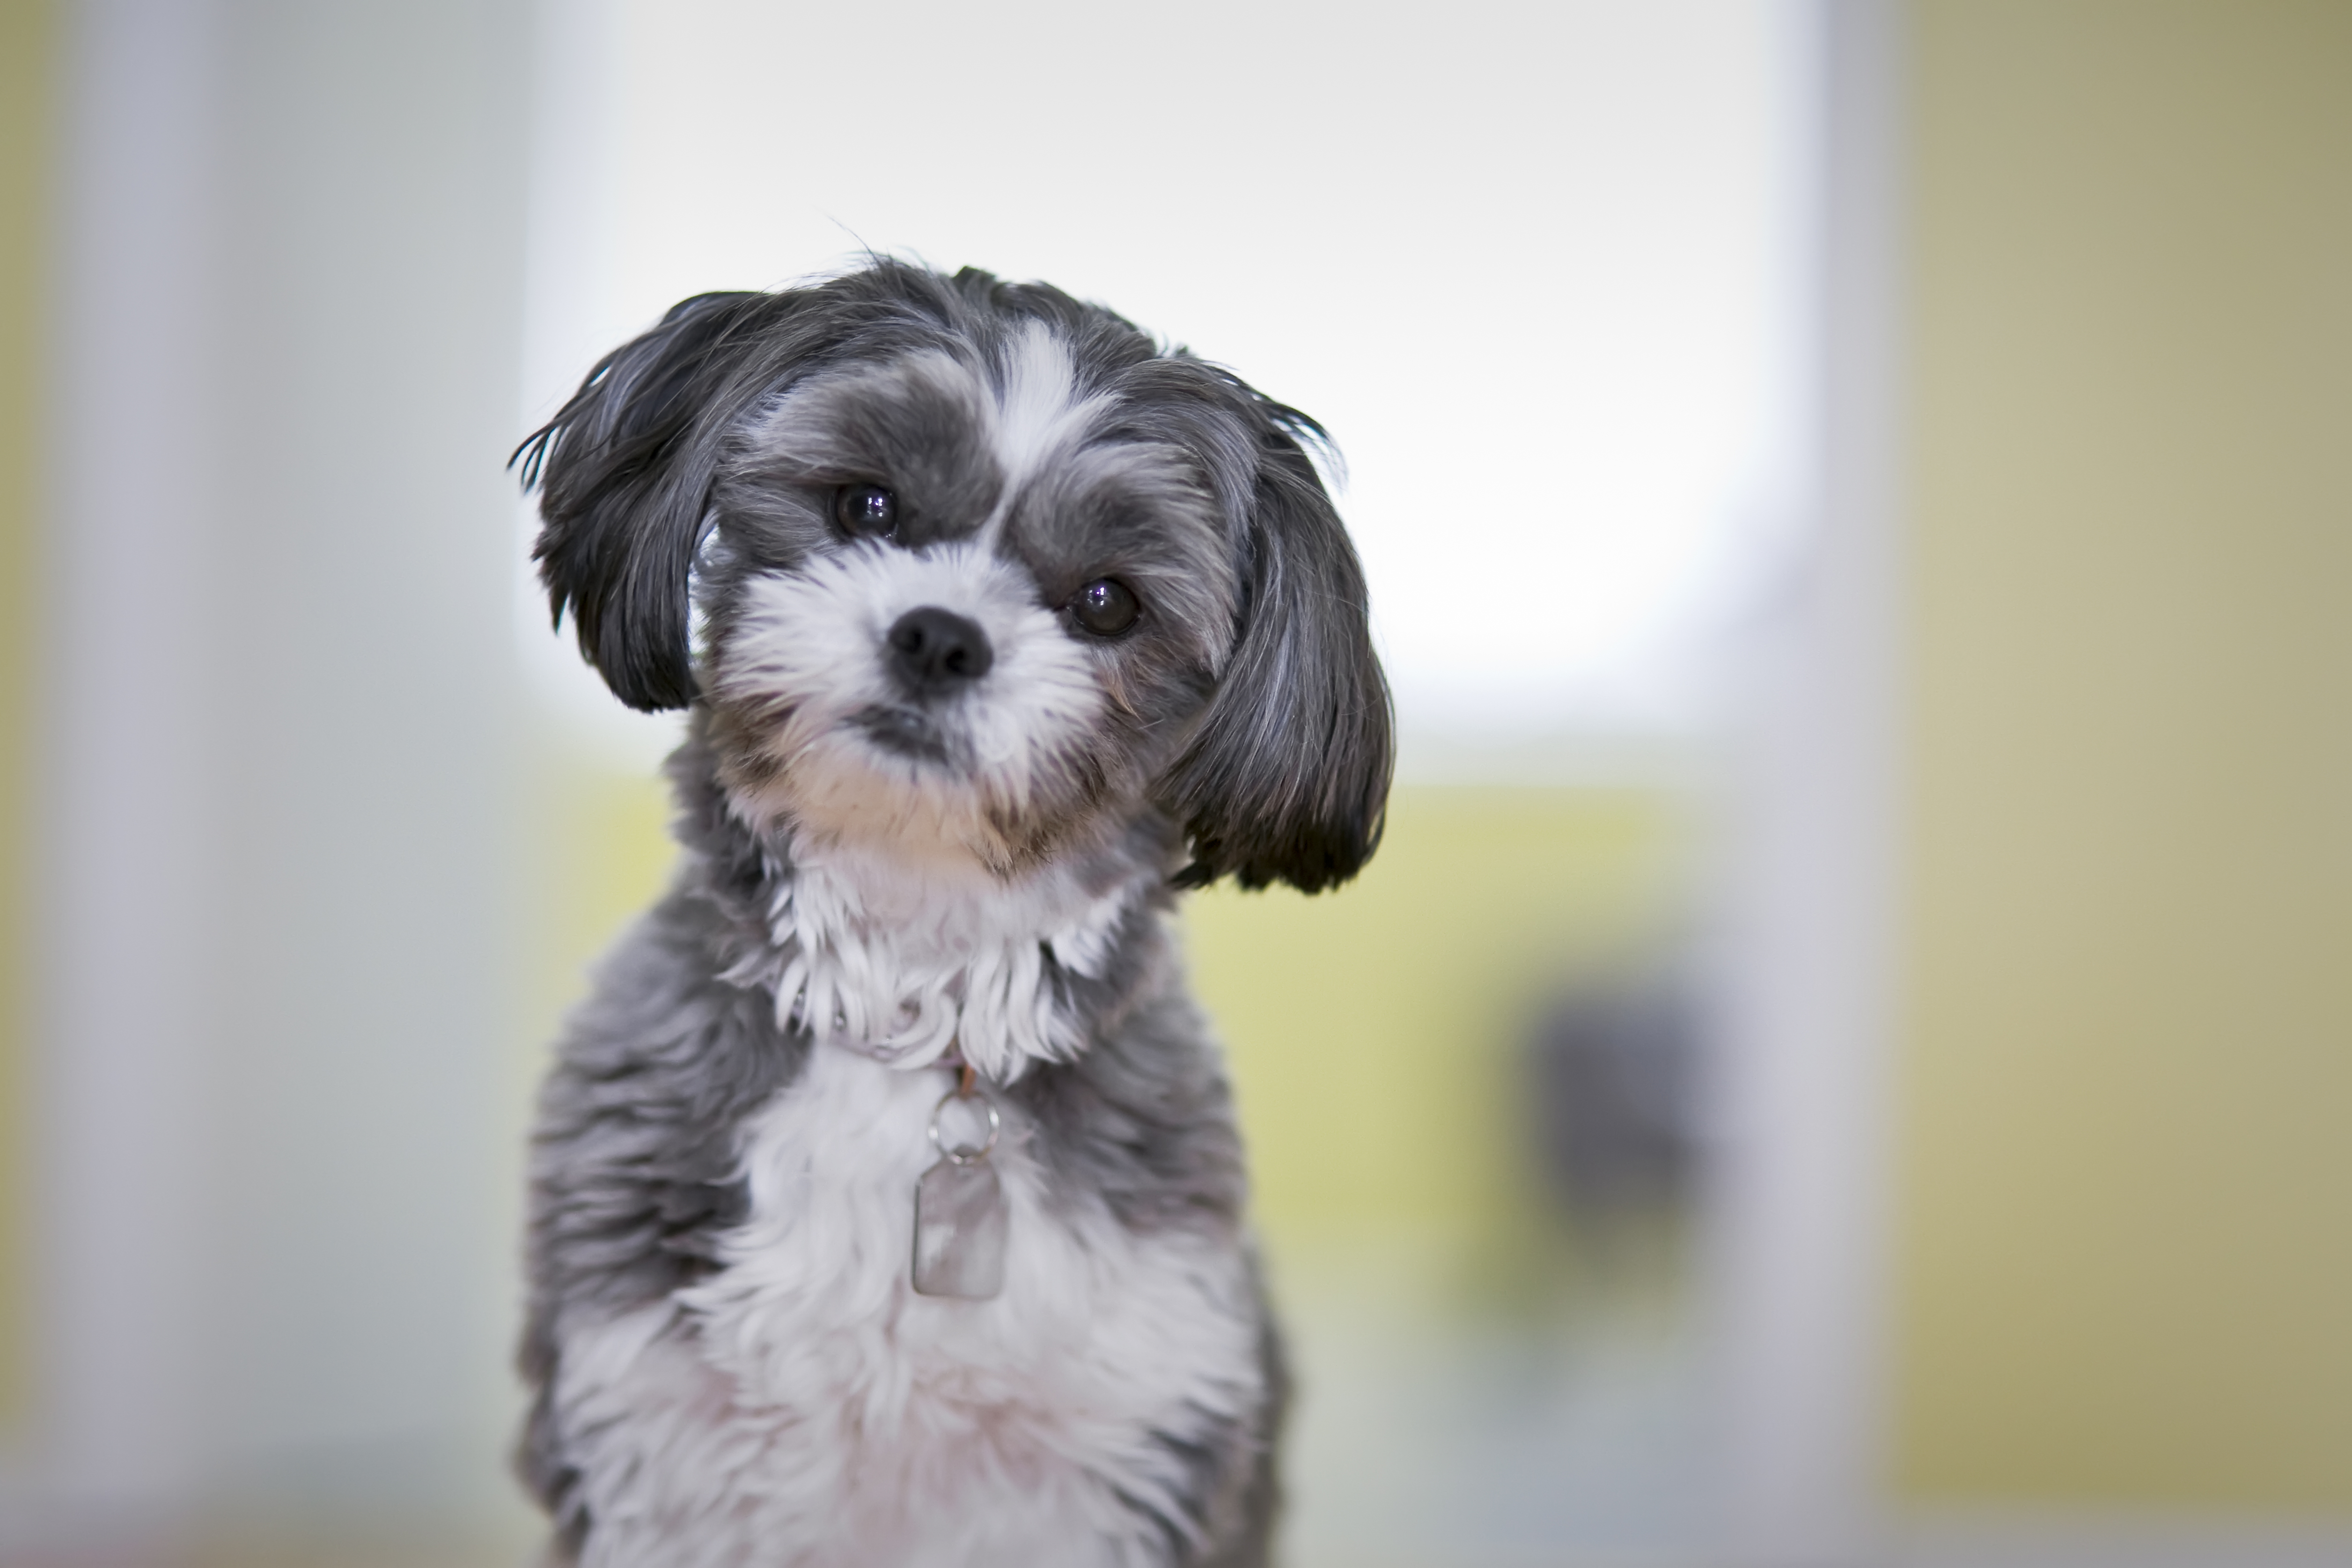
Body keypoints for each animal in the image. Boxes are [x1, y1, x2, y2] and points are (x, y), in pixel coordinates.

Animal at [513, 263, 1383, 1561]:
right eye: (865, 504)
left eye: (1106, 604)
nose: (938, 634)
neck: (912, 1000)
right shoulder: (654, 1442)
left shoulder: (1126, 1443)